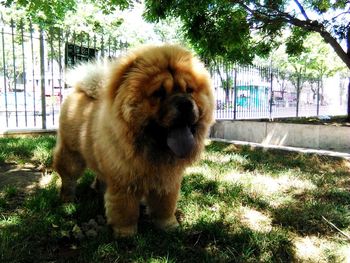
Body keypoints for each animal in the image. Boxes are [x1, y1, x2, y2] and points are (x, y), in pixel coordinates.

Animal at [53, 44, 215, 238]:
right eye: (159, 93)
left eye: (189, 90)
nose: (185, 104)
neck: (153, 149)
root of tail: (80, 90)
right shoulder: (124, 182)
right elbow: (125, 210)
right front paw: (126, 234)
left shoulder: (168, 180)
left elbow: (165, 206)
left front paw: (169, 226)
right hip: (72, 154)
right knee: (68, 177)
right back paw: (67, 200)